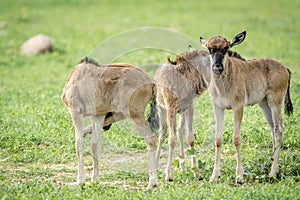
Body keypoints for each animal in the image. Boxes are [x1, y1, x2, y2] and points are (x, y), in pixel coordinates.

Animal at [61, 56, 158, 191]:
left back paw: (151, 184)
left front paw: (80, 181)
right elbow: (94, 144)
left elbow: (79, 144)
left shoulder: (76, 112)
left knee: (151, 138)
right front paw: (95, 179)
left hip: (133, 115)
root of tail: (151, 82)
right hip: (122, 112)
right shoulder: (98, 115)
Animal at [199, 30, 292, 184]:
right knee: (273, 129)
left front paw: (239, 177)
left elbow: (236, 139)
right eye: (209, 48)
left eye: (226, 48)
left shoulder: (239, 106)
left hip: (275, 102)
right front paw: (214, 176)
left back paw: (272, 173)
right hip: (264, 104)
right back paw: (274, 167)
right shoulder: (218, 107)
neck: (225, 81)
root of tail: (285, 68)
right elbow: (218, 140)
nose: (217, 67)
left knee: (279, 129)